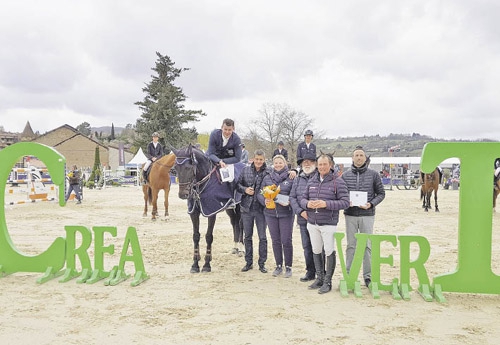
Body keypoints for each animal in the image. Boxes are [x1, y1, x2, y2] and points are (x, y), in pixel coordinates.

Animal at [172, 144, 244, 272]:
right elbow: (196, 236)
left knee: (240, 225)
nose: (182, 194)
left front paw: (206, 264)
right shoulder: (194, 213)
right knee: (234, 223)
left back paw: (241, 248)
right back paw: (235, 247)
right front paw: (195, 264)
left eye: (188, 167)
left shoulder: (211, 212)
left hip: (239, 207)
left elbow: (208, 236)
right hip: (230, 209)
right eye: (176, 168)